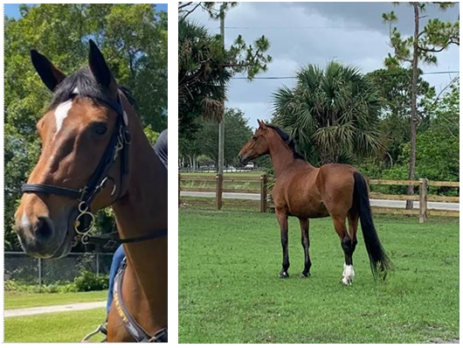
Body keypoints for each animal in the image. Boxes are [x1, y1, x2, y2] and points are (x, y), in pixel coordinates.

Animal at [239, 120, 392, 286]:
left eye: (254, 137)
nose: (241, 156)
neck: (288, 168)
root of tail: (353, 171)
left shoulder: (281, 212)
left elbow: (284, 239)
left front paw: (284, 270)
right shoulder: (303, 217)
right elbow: (305, 241)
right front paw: (305, 270)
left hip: (338, 217)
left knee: (345, 241)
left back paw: (346, 278)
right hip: (353, 215)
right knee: (353, 241)